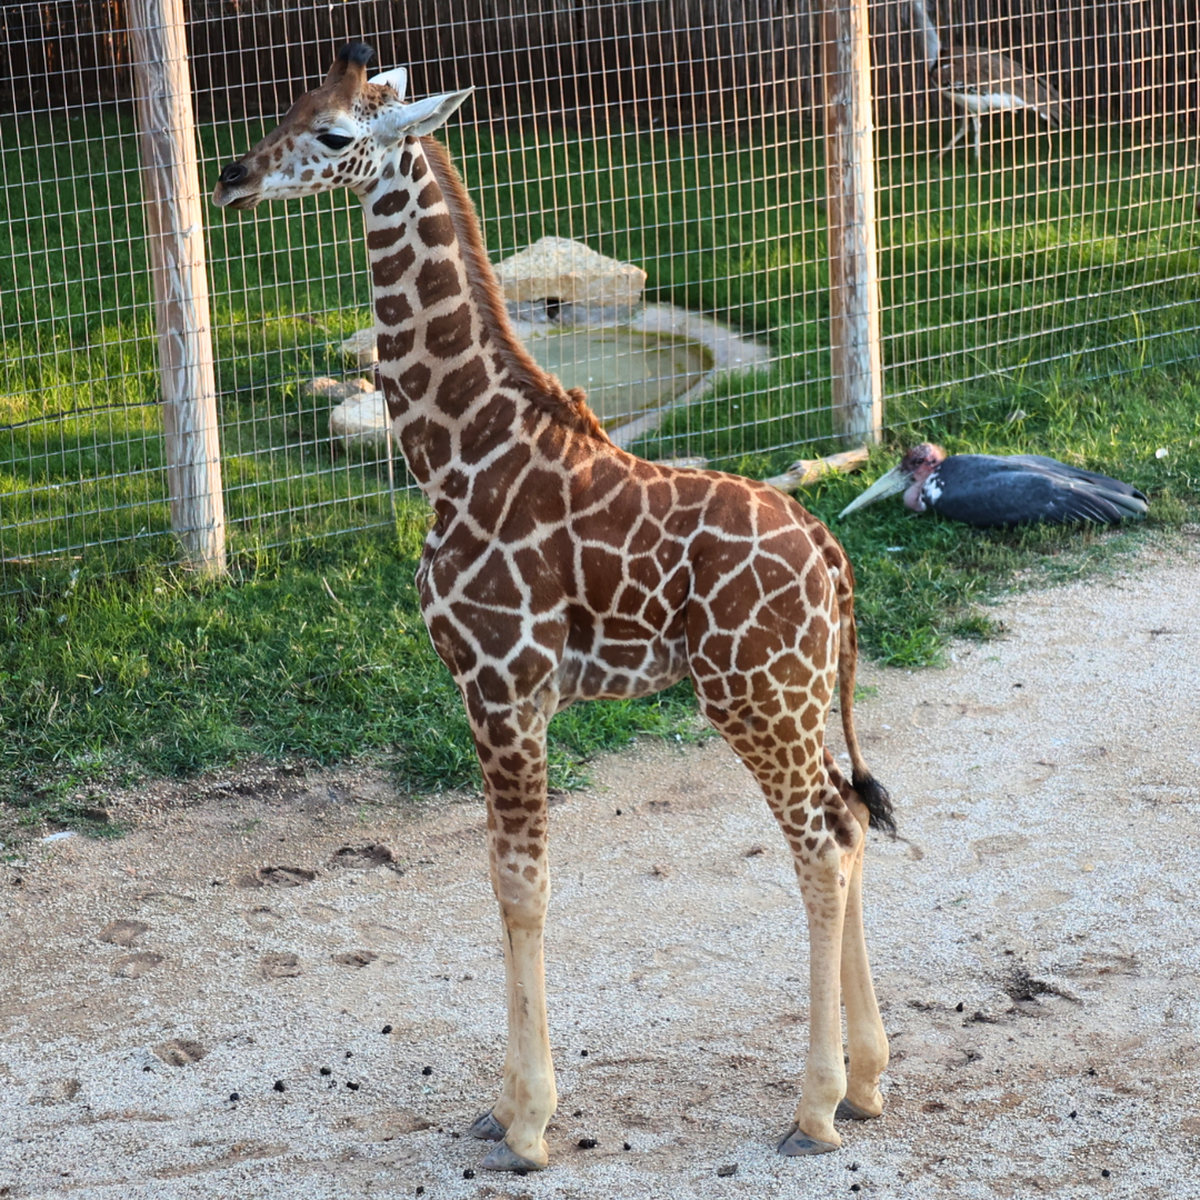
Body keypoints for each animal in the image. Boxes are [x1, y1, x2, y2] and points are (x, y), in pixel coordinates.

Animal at [213, 42, 896, 1173]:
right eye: (289, 103)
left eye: (335, 135)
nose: (231, 175)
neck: (457, 454)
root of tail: (834, 556)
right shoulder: (488, 694)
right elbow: (503, 880)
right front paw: (504, 1108)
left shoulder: (505, 687)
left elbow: (520, 884)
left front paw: (528, 1124)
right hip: (793, 700)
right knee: (850, 819)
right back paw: (873, 1082)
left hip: (754, 694)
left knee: (823, 841)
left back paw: (816, 1107)